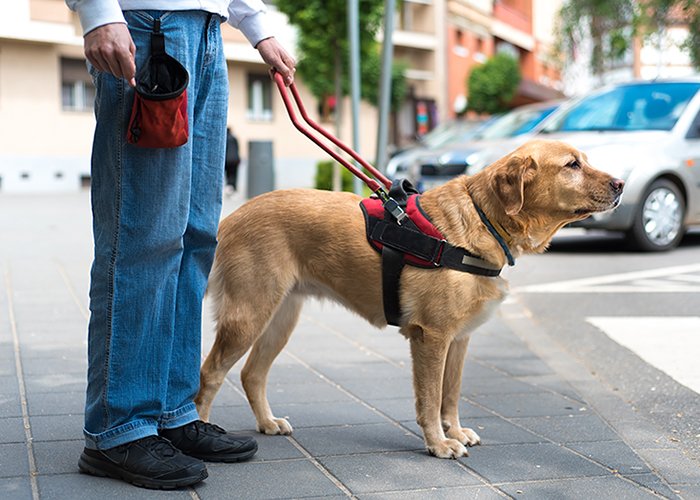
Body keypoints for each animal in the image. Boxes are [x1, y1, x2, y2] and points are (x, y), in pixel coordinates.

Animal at [193, 139, 624, 458]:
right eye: (572, 165)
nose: (620, 184)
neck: (481, 218)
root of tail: (231, 218)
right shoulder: (431, 337)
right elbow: (430, 400)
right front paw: (438, 444)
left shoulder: (458, 340)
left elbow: (450, 395)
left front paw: (455, 432)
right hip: (248, 316)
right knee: (210, 373)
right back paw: (200, 434)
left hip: (280, 319)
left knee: (252, 374)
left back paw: (267, 423)